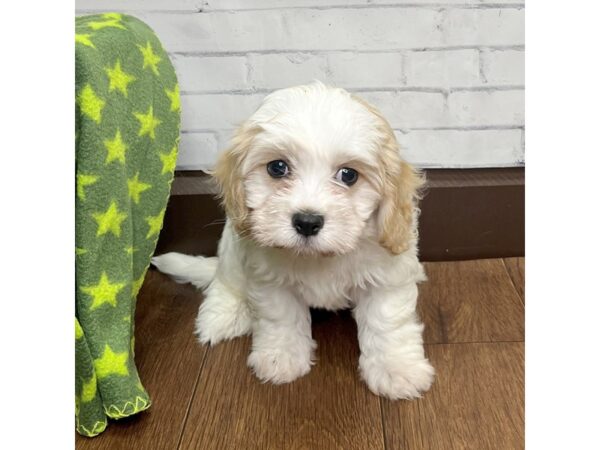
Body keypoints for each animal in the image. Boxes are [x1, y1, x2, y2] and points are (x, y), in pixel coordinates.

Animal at [154, 81, 436, 400]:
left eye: (348, 175)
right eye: (277, 167)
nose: (307, 222)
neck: (319, 257)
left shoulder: (387, 275)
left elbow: (387, 322)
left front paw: (397, 369)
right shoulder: (269, 279)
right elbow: (281, 318)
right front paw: (281, 358)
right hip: (232, 249)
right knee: (225, 282)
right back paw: (222, 316)